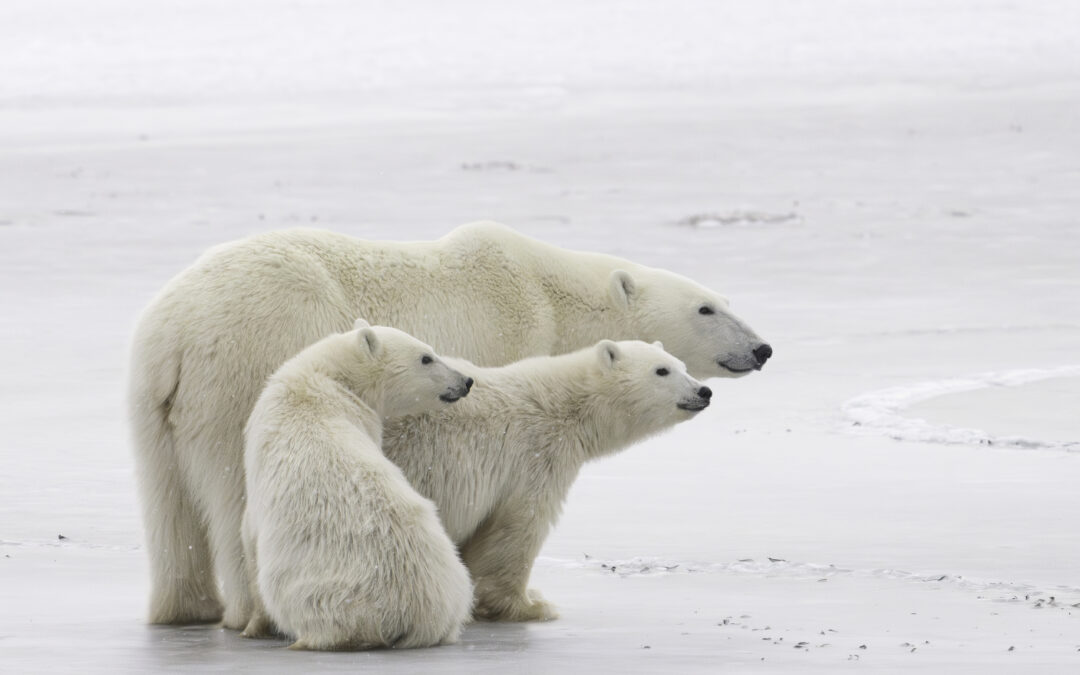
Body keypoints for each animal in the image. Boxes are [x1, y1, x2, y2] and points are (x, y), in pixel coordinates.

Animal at [130, 220, 773, 626]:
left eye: (724, 299)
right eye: (705, 308)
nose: (763, 348)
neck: (548, 295)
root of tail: (177, 332)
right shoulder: (506, 335)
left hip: (151, 400)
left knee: (168, 502)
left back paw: (187, 608)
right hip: (245, 364)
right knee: (236, 490)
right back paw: (252, 610)